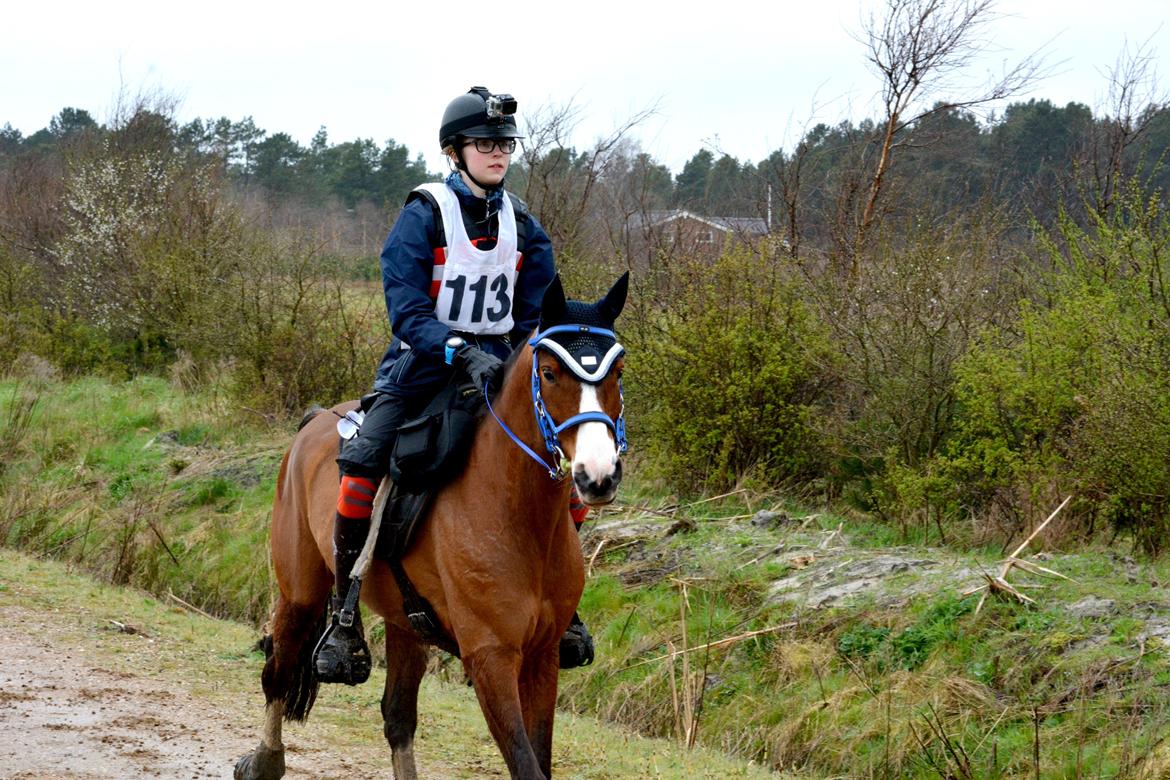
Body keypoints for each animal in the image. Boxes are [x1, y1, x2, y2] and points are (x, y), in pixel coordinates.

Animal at [231, 274, 627, 780]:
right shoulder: (491, 658)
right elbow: (525, 763)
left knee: (398, 716)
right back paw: (265, 758)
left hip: (406, 623)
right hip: (300, 591)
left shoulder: (542, 656)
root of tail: (316, 418)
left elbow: (538, 757)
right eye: (551, 373)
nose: (598, 475)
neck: (518, 515)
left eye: (617, 373)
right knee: (278, 671)